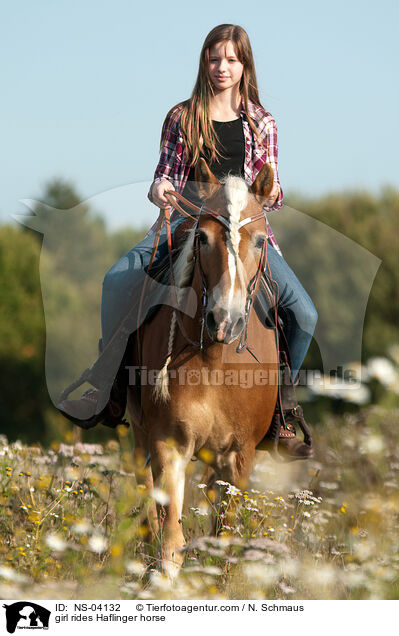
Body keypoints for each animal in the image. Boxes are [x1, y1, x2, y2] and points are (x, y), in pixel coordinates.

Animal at [126, 159, 280, 576]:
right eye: (202, 238)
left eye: (260, 240)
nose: (224, 320)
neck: (216, 362)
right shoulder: (169, 445)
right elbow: (171, 541)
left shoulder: (238, 456)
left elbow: (224, 537)